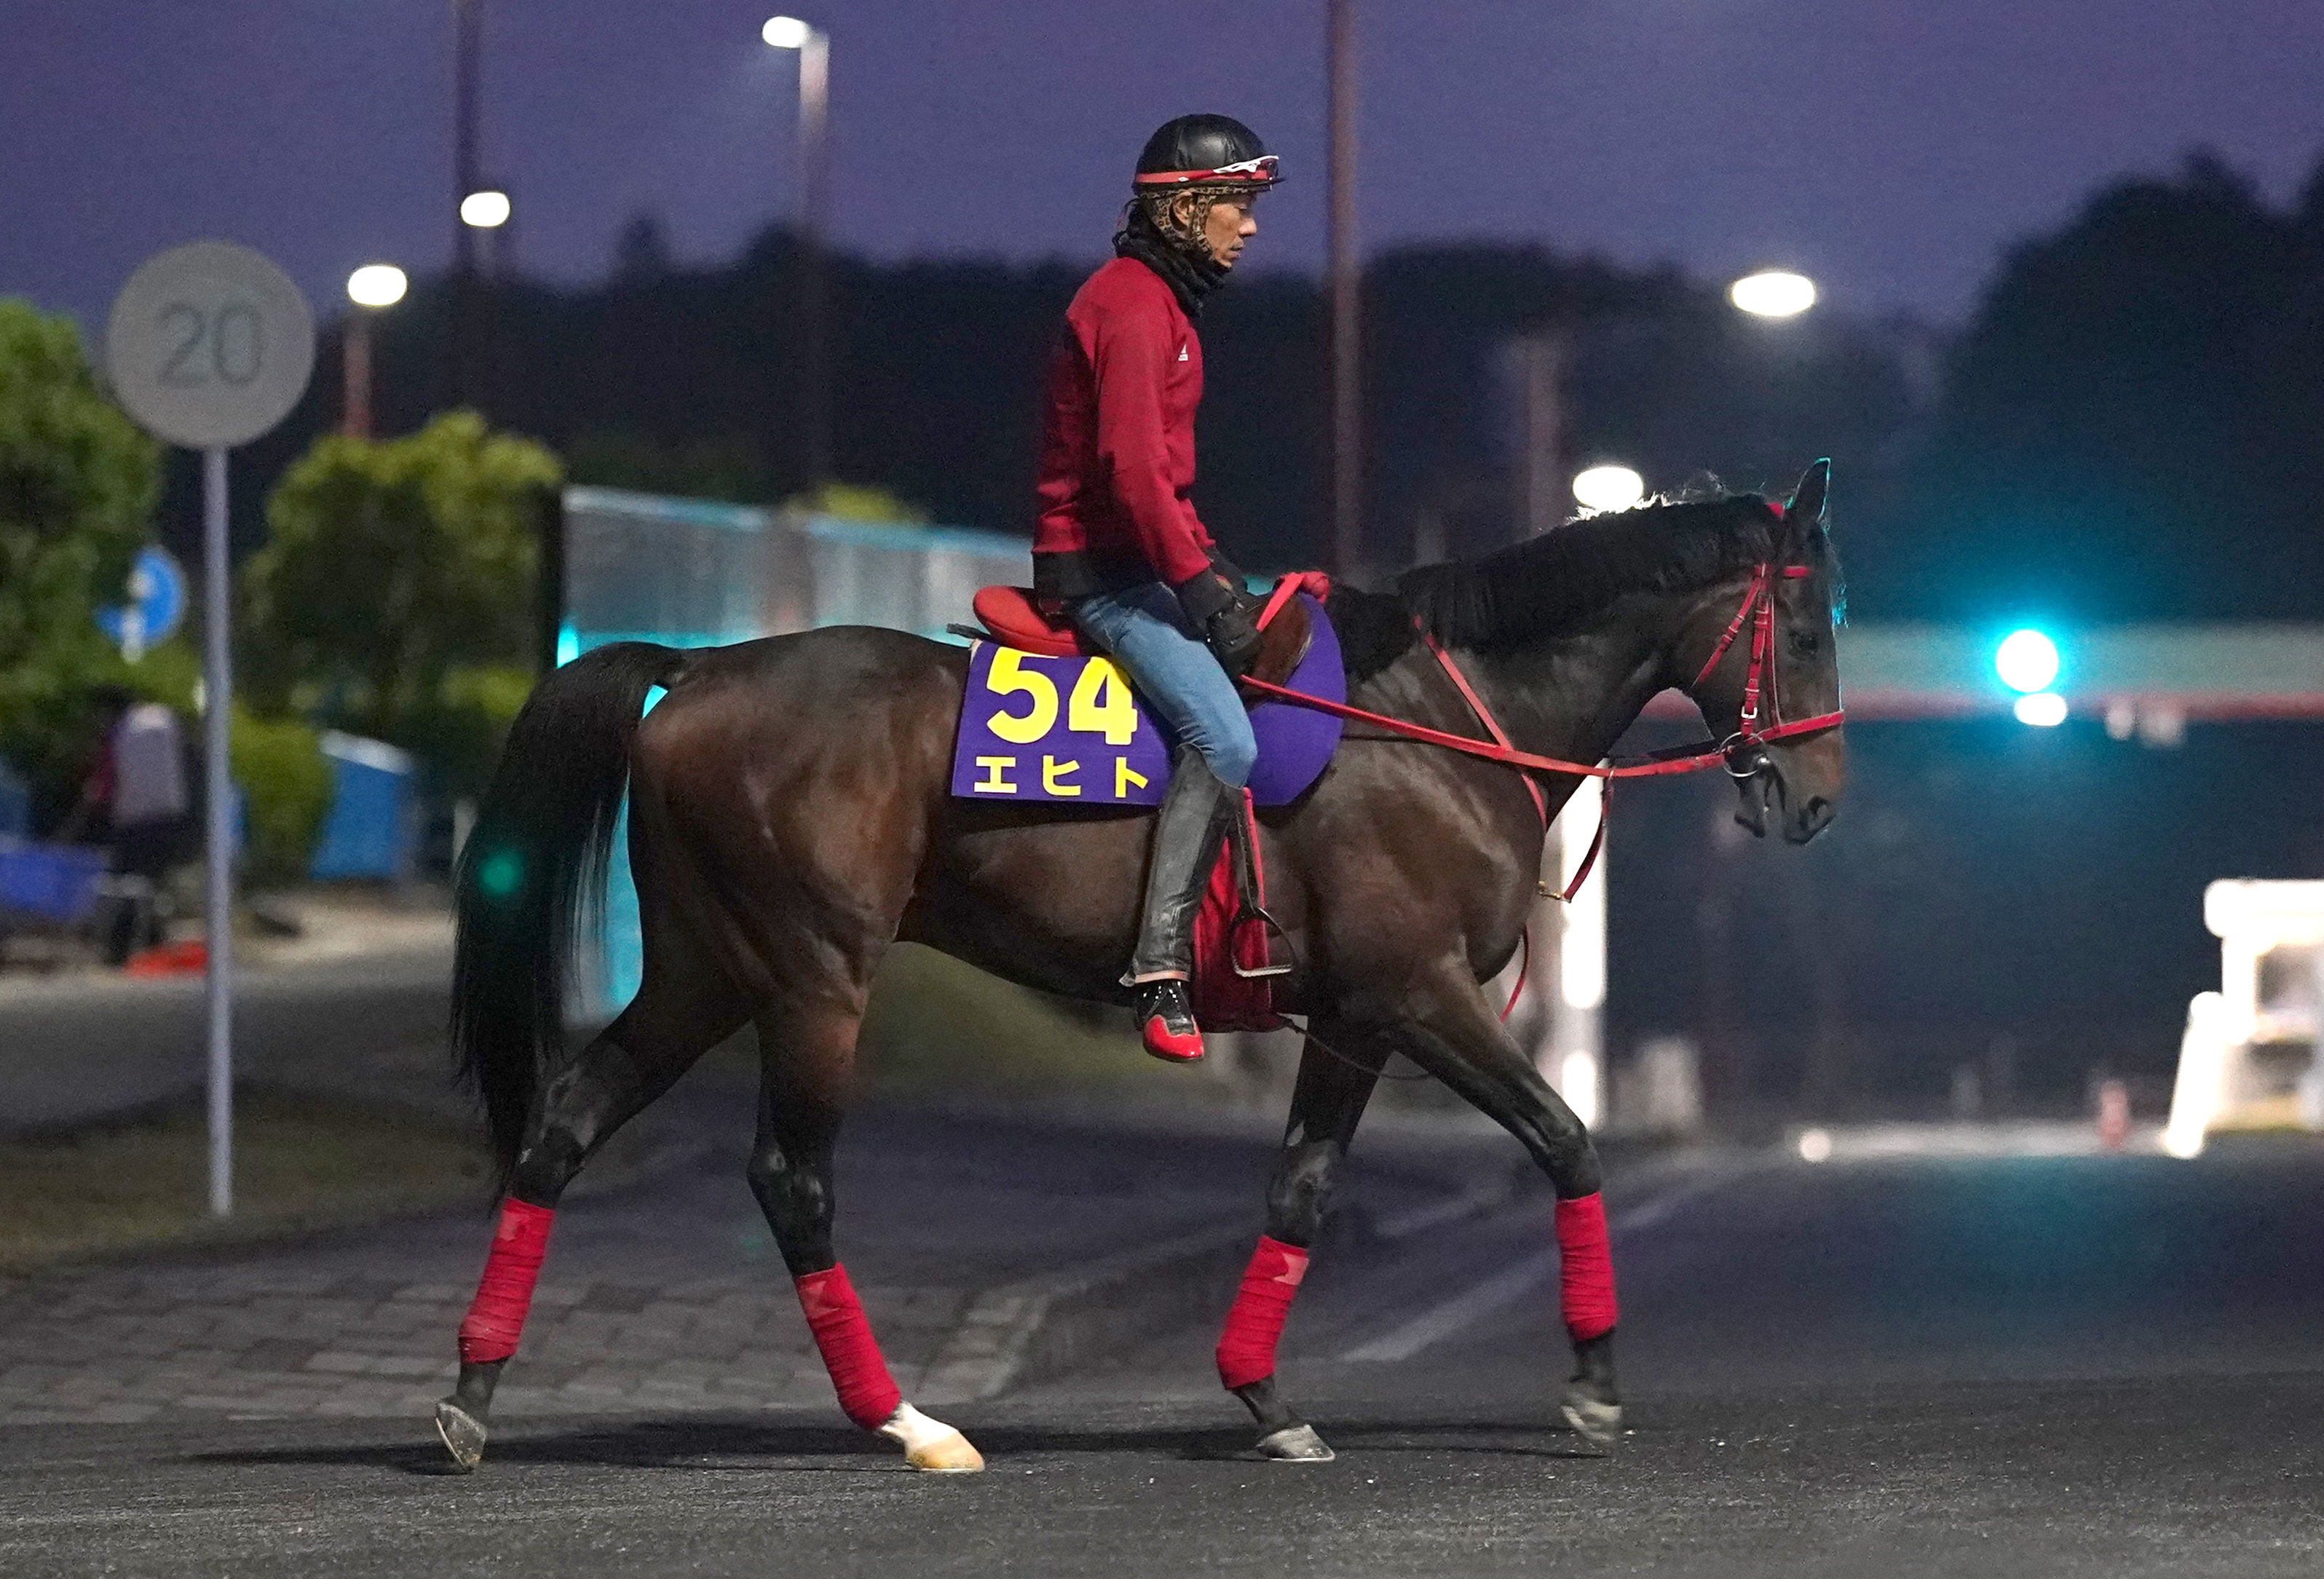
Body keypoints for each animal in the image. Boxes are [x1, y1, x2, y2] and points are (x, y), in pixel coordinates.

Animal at [432, 462, 1849, 1476]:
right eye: (1800, 624)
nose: (1819, 798)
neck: (1434, 725)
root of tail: (701, 667)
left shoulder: (1353, 1018)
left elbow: (1300, 1192)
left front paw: (1263, 1395)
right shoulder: (1422, 994)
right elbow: (1565, 1139)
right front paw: (1594, 1384)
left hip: (705, 970)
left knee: (564, 1122)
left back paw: (471, 1394)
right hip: (814, 979)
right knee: (791, 1178)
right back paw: (905, 1420)